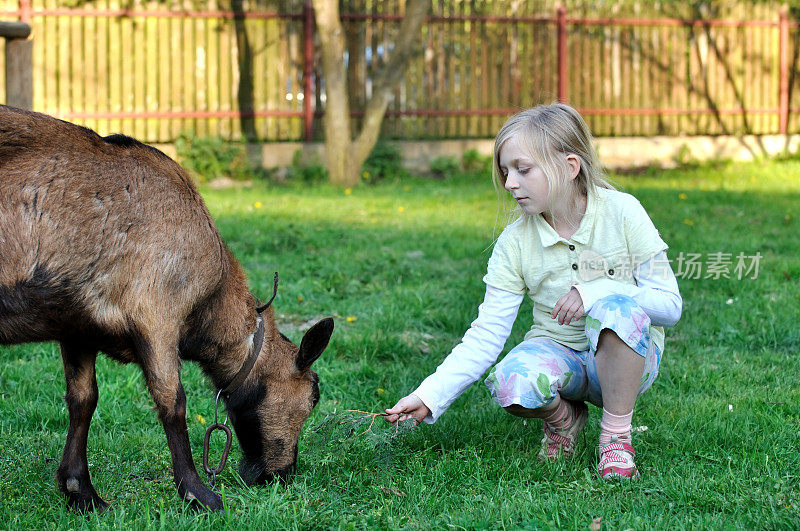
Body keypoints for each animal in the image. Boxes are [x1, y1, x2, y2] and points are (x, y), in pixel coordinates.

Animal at [0, 106, 334, 512]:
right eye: (313, 396)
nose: (281, 475)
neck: (210, 311)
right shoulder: (156, 311)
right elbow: (172, 402)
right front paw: (198, 493)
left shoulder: (76, 325)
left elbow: (83, 399)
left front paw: (82, 491)